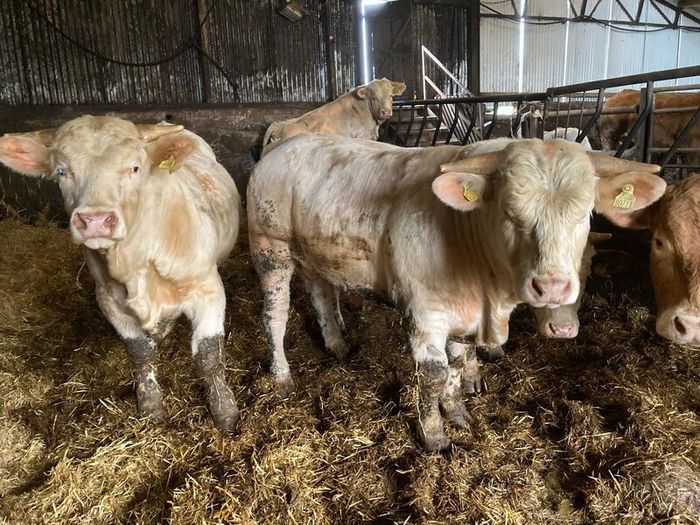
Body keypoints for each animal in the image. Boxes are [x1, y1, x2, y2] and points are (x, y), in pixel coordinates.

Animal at [0, 116, 241, 431]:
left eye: (134, 168)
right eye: (62, 171)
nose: (95, 220)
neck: (135, 263)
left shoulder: (208, 290)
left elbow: (209, 355)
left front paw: (225, 411)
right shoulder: (109, 300)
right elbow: (140, 354)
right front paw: (151, 407)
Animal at [247, 134, 665, 450]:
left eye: (585, 214)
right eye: (510, 213)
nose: (552, 287)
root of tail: (287, 144)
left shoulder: (464, 312)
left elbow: (458, 362)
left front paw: (458, 411)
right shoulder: (425, 313)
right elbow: (433, 373)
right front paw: (433, 434)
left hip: (315, 255)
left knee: (321, 294)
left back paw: (336, 344)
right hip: (269, 248)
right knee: (275, 316)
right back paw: (282, 376)